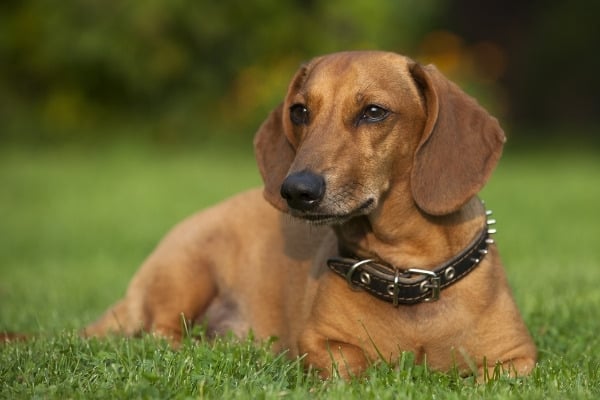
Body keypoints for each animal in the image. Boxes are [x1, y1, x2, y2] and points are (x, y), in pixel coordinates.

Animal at [28, 50, 540, 378]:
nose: (296, 190)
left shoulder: (520, 360)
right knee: (158, 335)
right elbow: (350, 361)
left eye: (374, 111)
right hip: (186, 271)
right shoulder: (319, 344)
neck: (406, 273)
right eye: (300, 111)